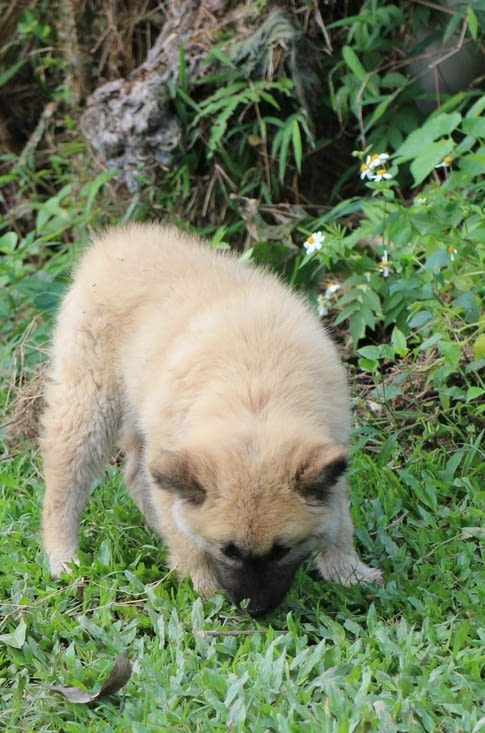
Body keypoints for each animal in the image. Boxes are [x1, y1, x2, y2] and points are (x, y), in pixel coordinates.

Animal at [40, 222, 382, 612]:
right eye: (228, 550)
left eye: (282, 550)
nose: (256, 613)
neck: (256, 397)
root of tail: (112, 242)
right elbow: (188, 543)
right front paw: (205, 592)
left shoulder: (331, 454)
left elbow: (340, 524)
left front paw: (348, 573)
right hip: (88, 406)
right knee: (64, 485)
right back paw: (63, 558)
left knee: (135, 478)